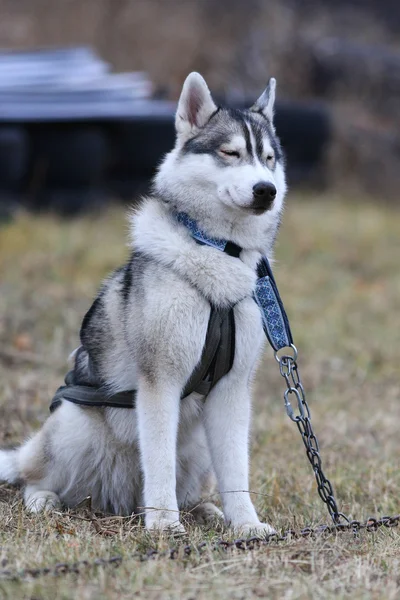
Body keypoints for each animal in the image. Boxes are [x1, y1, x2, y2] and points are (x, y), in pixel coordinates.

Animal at [0, 71, 288, 536]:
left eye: (268, 158)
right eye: (230, 153)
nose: (267, 190)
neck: (219, 249)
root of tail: (118, 500)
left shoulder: (231, 391)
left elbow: (236, 470)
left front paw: (245, 524)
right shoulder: (160, 382)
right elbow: (159, 461)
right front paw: (165, 525)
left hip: (198, 445)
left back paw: (204, 509)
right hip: (72, 425)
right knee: (33, 477)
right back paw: (45, 500)